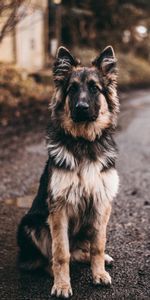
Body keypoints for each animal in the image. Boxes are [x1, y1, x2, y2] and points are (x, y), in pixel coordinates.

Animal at [17, 44, 119, 298]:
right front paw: (62, 285)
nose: (81, 108)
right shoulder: (59, 209)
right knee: (47, 259)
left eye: (94, 88)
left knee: (83, 250)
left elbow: (98, 245)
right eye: (72, 89)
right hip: (30, 224)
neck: (84, 142)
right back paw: (50, 271)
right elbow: (60, 253)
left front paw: (99, 273)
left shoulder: (101, 203)